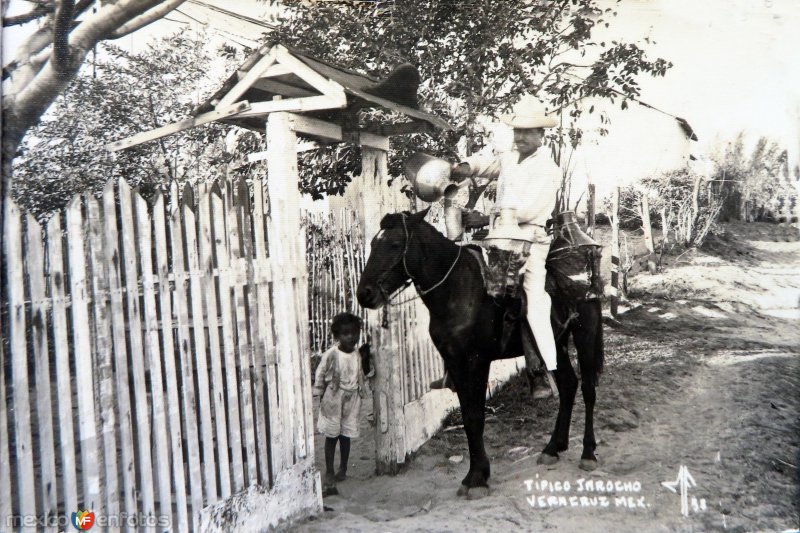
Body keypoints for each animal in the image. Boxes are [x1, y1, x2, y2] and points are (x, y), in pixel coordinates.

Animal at [358, 207, 608, 494]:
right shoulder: (455, 362)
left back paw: (588, 453)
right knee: (568, 385)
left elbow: (476, 414)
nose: (364, 294)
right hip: (557, 344)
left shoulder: (477, 361)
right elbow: (468, 415)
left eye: (395, 244)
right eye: (373, 244)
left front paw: (477, 477)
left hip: (585, 334)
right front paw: (477, 473)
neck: (457, 290)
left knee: (588, 389)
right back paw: (553, 447)